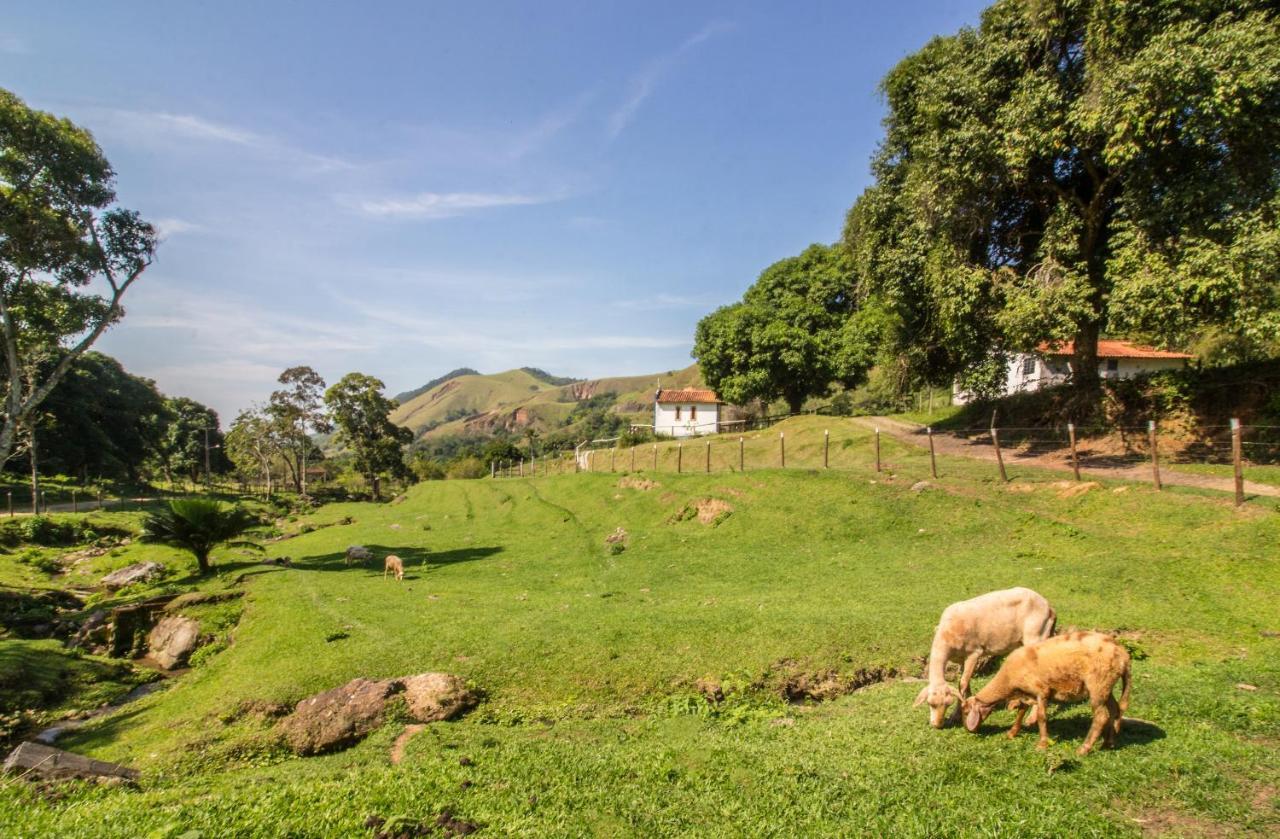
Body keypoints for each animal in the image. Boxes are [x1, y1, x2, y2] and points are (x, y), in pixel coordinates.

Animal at [916, 584, 1054, 727]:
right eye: (930, 703)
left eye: (948, 704)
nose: (937, 725)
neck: (946, 635)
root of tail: (1048, 607)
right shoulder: (961, 658)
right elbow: (964, 684)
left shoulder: (974, 652)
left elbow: (963, 684)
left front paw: (956, 715)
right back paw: (1015, 704)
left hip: (1035, 635)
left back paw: (1031, 719)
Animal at [962, 630, 1131, 753]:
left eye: (965, 712)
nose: (968, 730)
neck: (1008, 679)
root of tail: (1124, 655)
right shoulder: (1027, 693)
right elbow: (1021, 711)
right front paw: (1012, 733)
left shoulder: (1041, 691)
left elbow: (1041, 717)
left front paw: (1042, 744)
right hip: (1106, 685)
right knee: (1115, 709)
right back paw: (1108, 743)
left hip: (1097, 684)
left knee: (1101, 716)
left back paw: (1084, 749)